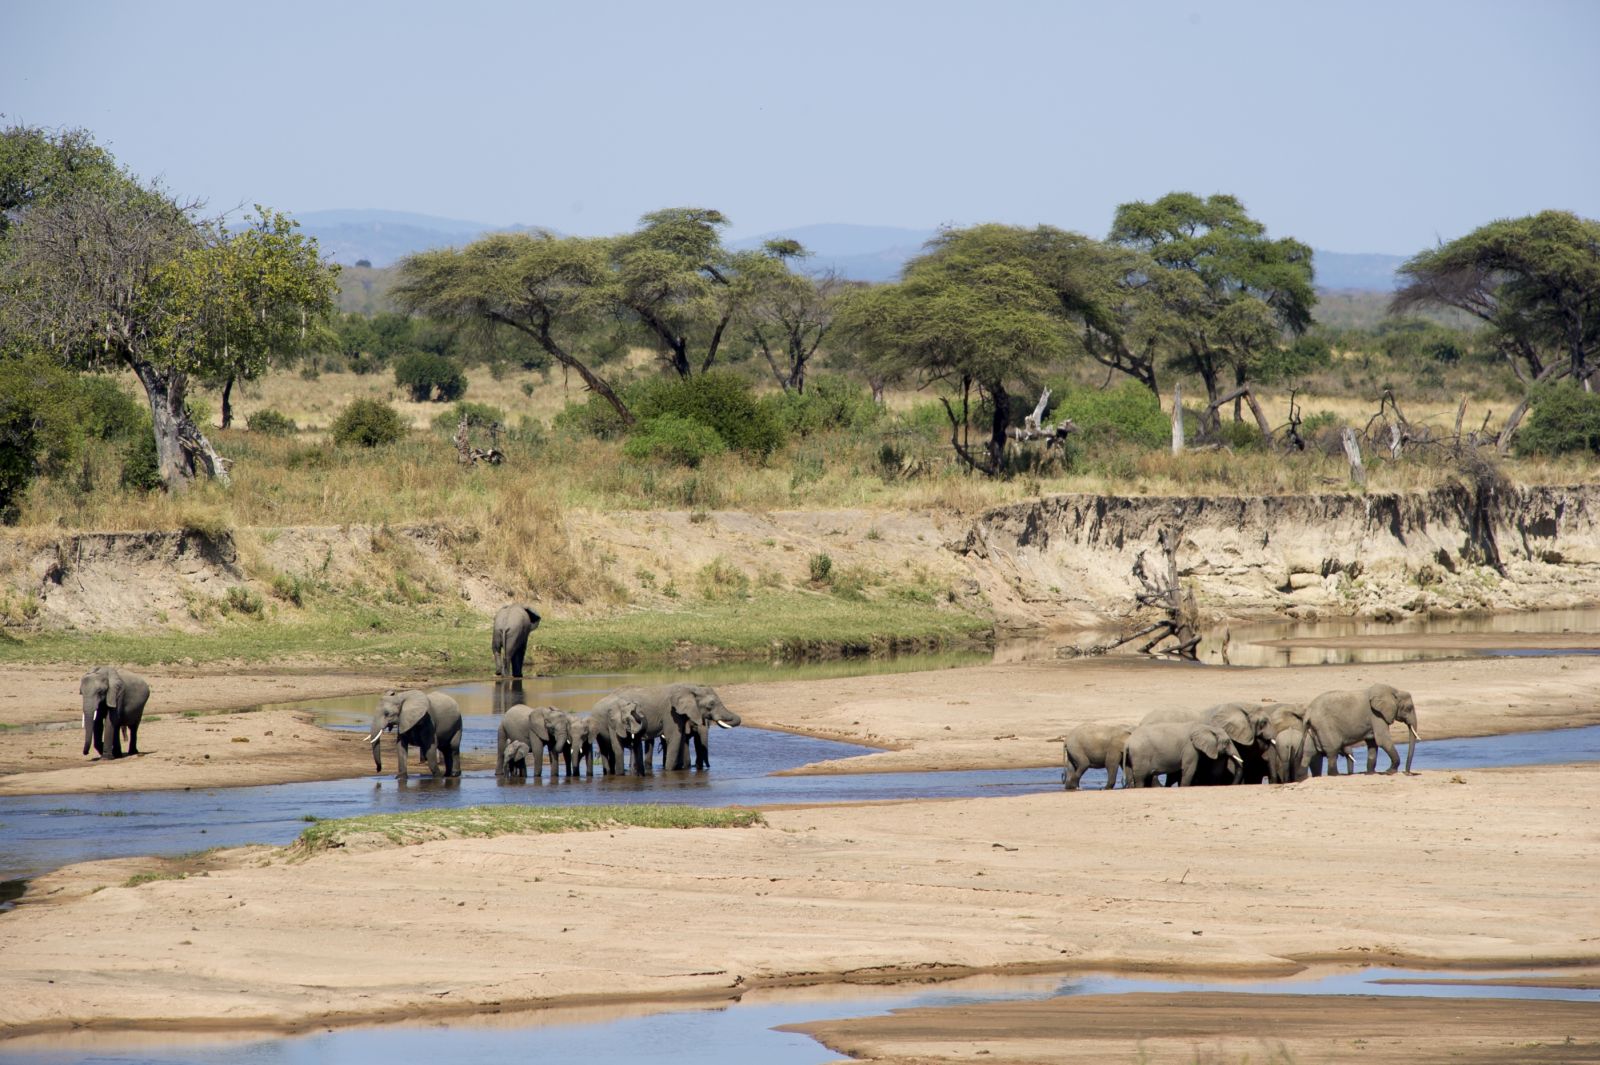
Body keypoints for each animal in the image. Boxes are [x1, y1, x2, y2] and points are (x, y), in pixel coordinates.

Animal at [1299, 681, 1427, 770]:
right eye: (1409, 708)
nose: (1407, 772)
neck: (1394, 691)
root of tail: (1308, 711)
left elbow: (1373, 743)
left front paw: (1370, 772)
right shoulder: (1376, 715)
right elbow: (1383, 740)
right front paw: (1390, 771)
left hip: (1315, 728)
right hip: (1324, 725)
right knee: (1332, 753)